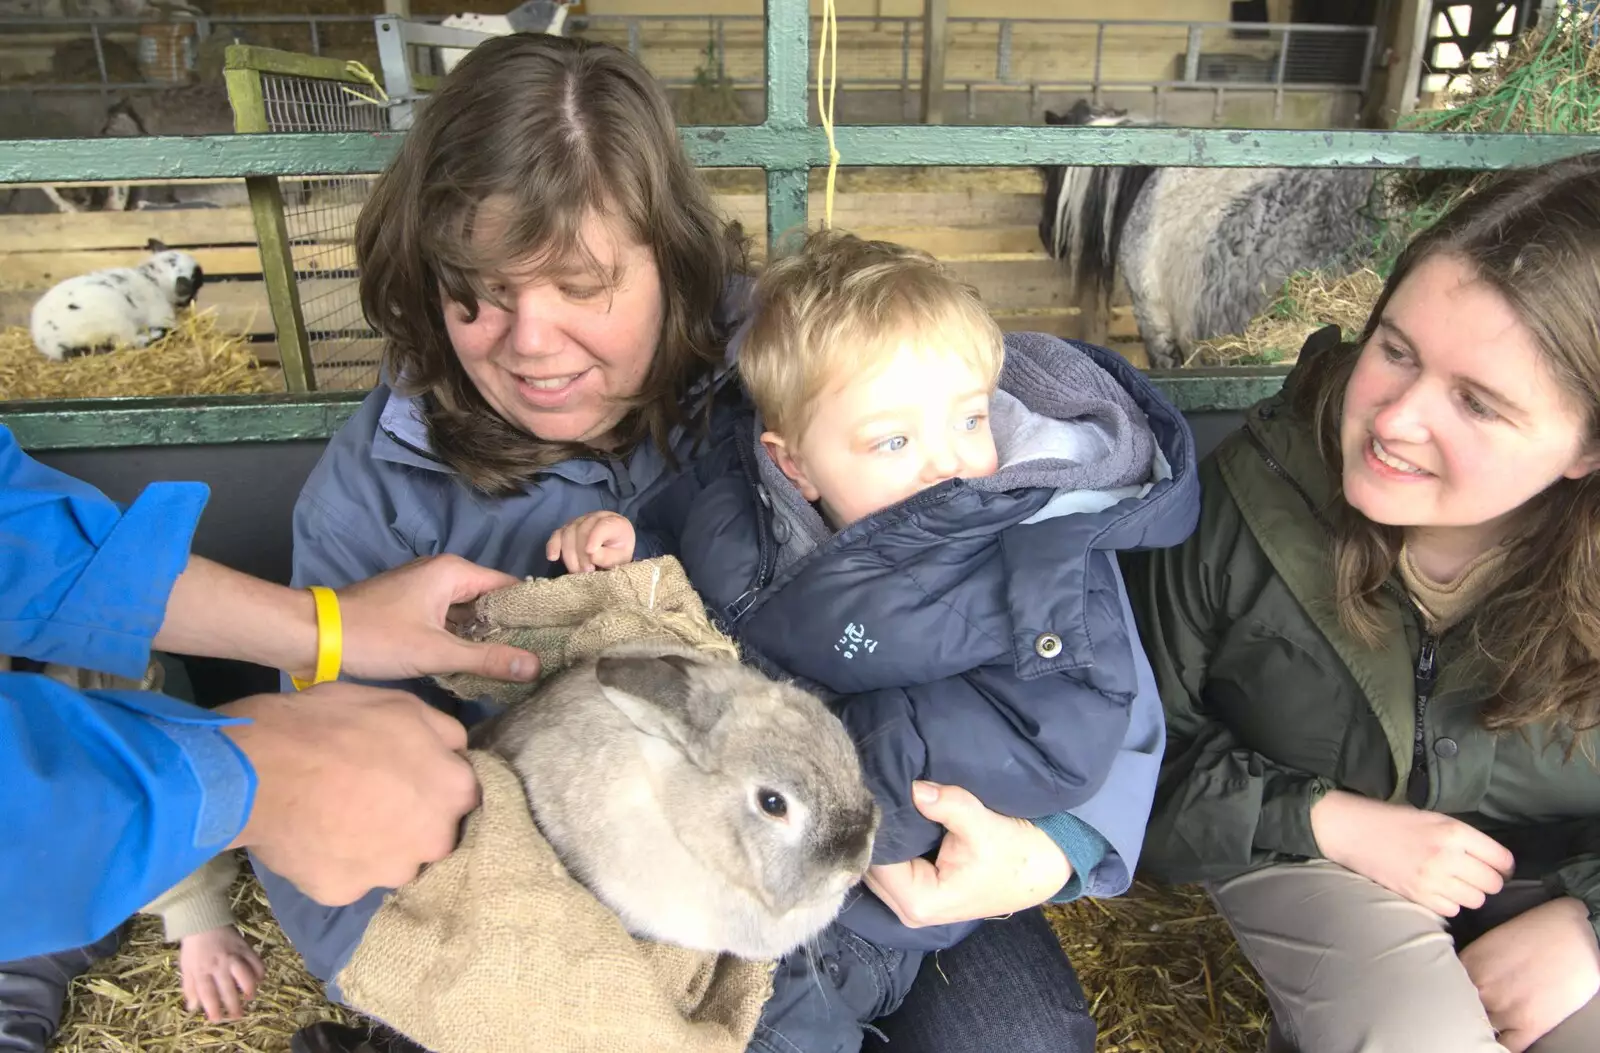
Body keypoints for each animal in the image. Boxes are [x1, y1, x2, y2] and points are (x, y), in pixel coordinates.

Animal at [30, 238, 206, 361]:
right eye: (196, 282)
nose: (195, 298)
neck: (153, 280)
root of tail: (53, 343)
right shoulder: (161, 314)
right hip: (118, 324)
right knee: (128, 342)